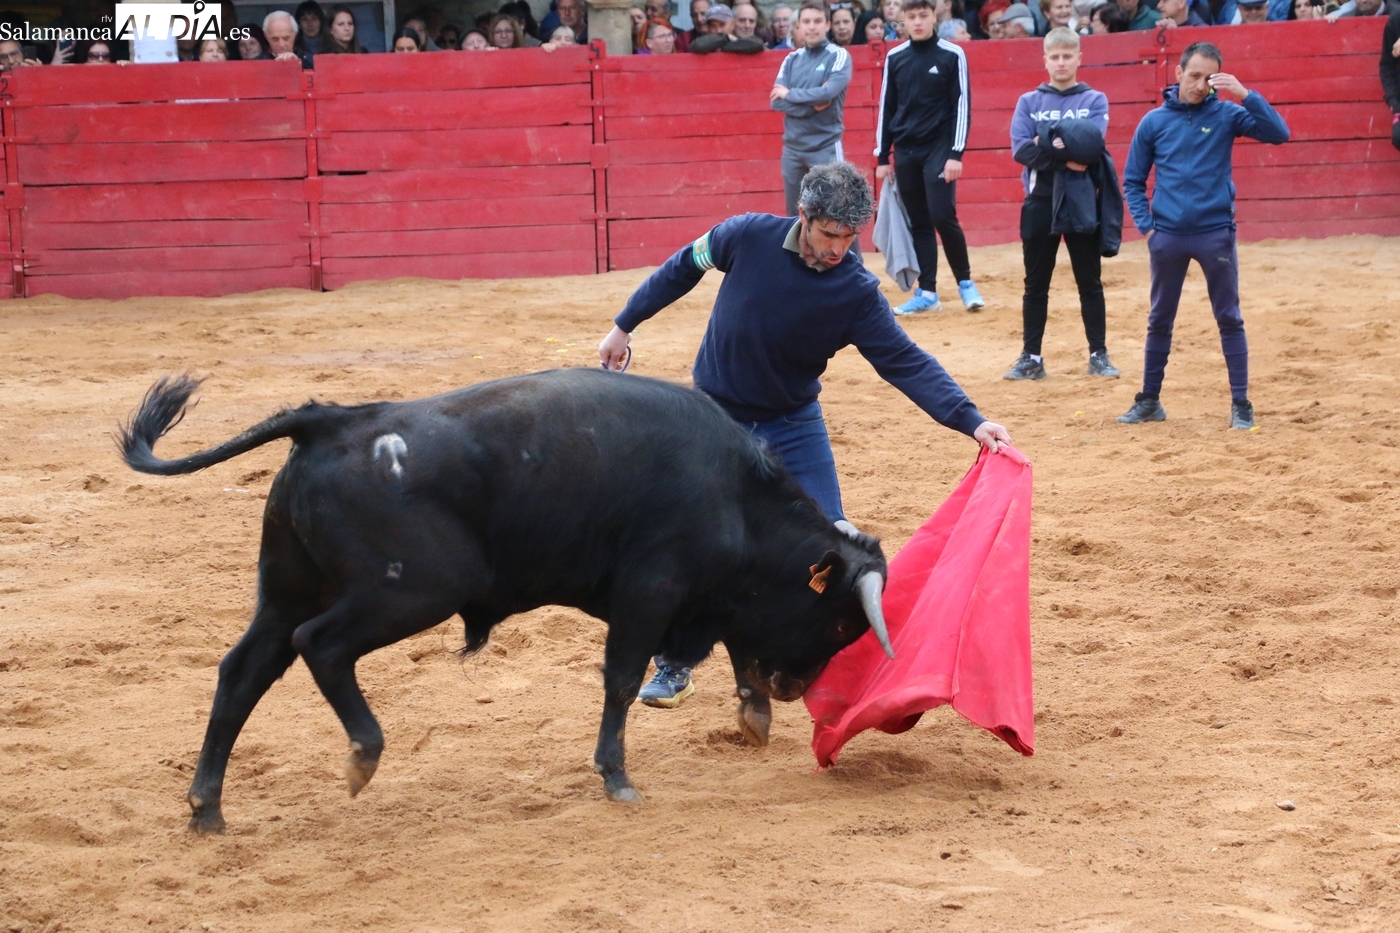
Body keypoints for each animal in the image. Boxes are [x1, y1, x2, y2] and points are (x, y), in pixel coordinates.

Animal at [119, 368, 893, 834]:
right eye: (842, 621)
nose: (797, 690)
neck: (734, 493)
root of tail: (333, 420)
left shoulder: (701, 597)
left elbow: (737, 638)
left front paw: (753, 714)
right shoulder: (651, 592)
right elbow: (622, 679)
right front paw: (617, 776)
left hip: (287, 587)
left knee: (244, 670)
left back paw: (207, 808)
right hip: (415, 588)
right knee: (322, 645)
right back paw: (362, 756)